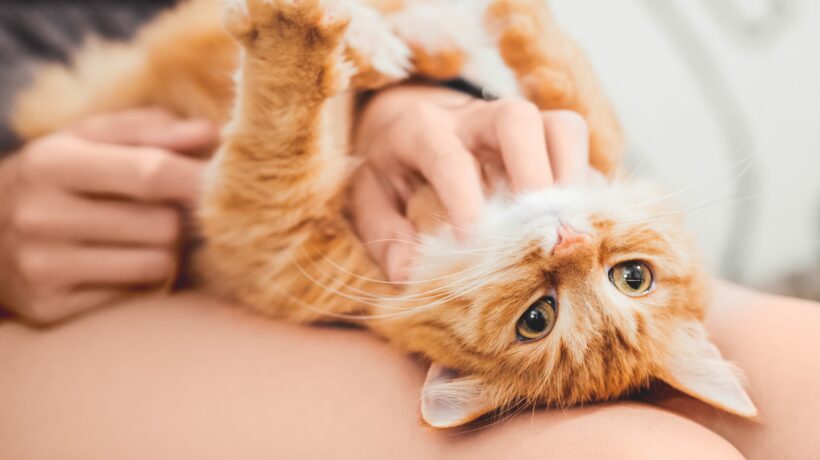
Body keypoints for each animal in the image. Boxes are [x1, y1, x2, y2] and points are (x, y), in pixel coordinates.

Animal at [9, 0, 760, 428]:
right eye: (635, 277)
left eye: (537, 321)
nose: (567, 240)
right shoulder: (580, 133)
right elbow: (566, 79)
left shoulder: (265, 235)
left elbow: (284, 112)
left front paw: (296, 29)